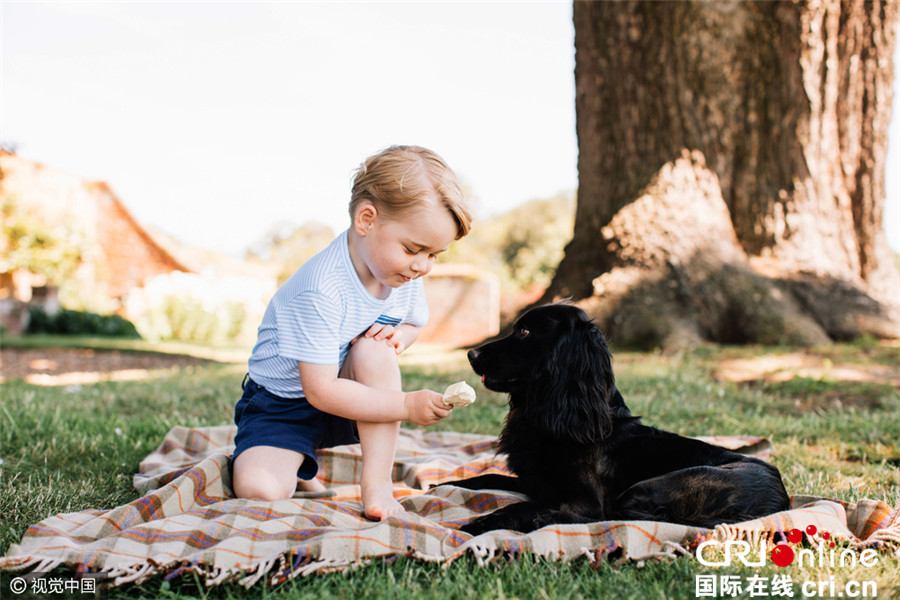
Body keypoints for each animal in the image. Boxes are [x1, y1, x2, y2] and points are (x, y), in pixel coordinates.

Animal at [450, 304, 788, 536]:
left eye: (524, 332)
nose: (470, 354)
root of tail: (780, 501)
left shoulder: (585, 500)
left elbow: (524, 505)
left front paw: (478, 524)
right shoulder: (534, 482)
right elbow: (484, 478)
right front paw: (444, 485)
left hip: (647, 489)